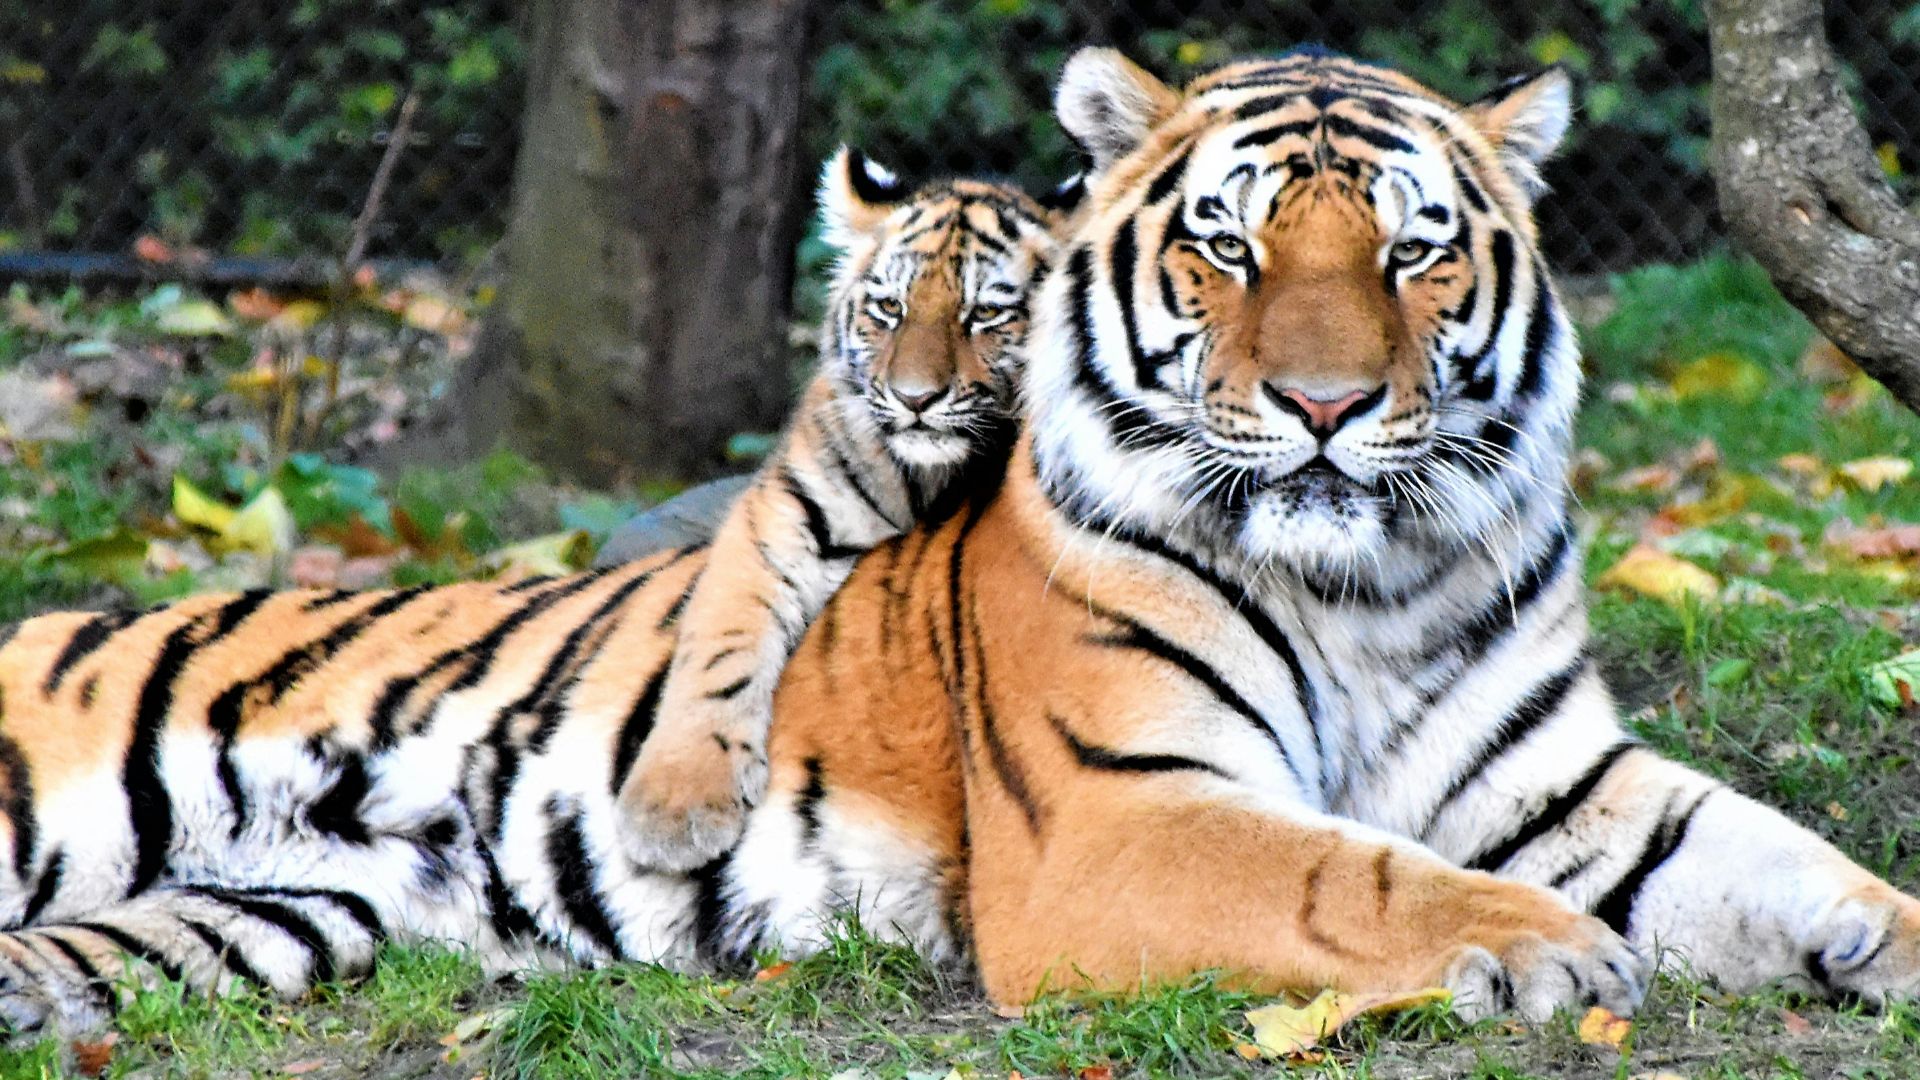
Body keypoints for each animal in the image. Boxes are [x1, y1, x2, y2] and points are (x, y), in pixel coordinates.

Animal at [614, 148, 1075, 871]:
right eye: (889, 308)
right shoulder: (781, 514)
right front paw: (674, 807)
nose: (915, 399)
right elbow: (719, 643)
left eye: (984, 315)